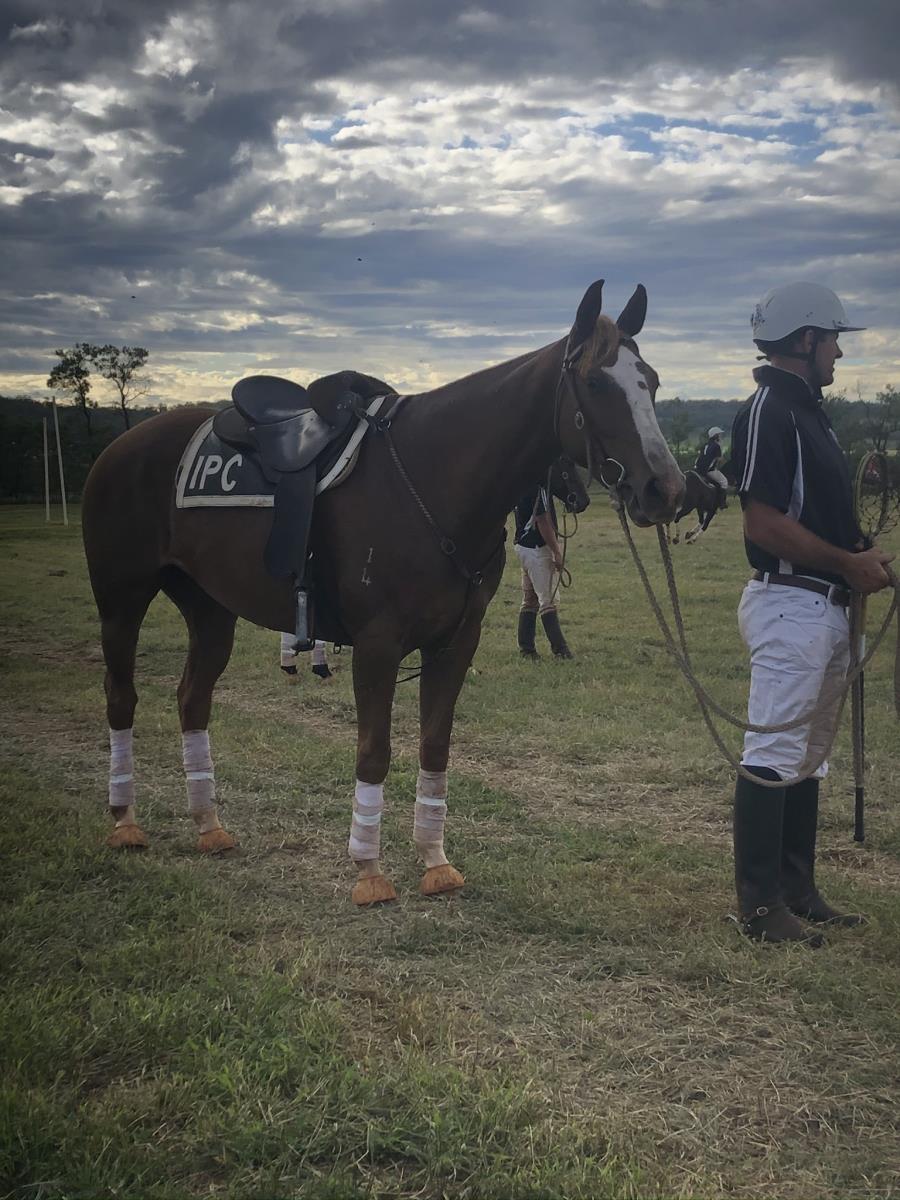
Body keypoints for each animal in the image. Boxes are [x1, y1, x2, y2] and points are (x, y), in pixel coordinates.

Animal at [81, 279, 684, 905]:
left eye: (653, 380)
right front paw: (369, 869)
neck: (431, 477)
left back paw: (208, 825)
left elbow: (435, 745)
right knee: (121, 698)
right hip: (121, 602)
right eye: (597, 383)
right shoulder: (377, 644)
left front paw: (434, 859)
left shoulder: (454, 643)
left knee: (192, 700)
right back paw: (125, 821)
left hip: (211, 610)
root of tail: (122, 446)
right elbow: (374, 752)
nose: (665, 488)